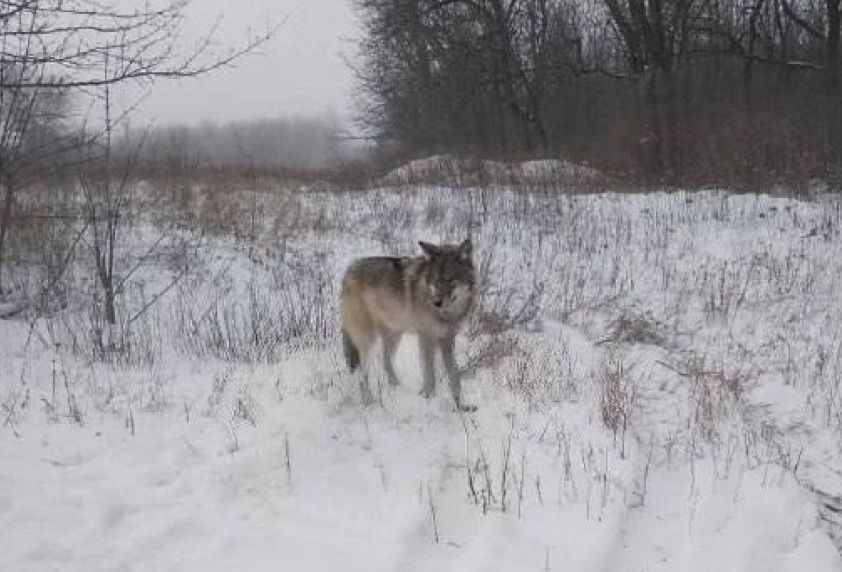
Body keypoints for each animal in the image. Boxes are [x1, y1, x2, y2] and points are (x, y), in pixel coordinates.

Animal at [341, 239, 476, 411]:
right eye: (435, 280)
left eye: (449, 280)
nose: (436, 302)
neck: (447, 314)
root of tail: (349, 269)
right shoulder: (426, 337)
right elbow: (429, 374)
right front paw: (428, 400)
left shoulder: (447, 339)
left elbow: (454, 377)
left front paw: (461, 406)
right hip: (367, 340)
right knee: (362, 374)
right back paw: (369, 402)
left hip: (394, 334)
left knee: (386, 361)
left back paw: (397, 387)